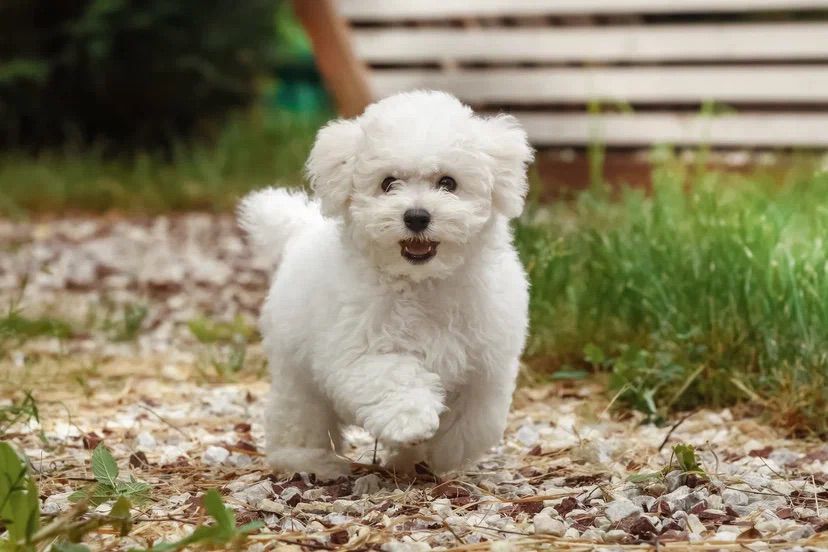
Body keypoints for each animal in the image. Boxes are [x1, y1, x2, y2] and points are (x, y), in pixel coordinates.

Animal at [239, 90, 532, 478]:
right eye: (388, 183)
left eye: (448, 183)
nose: (417, 217)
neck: (424, 283)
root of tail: (301, 230)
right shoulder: (359, 350)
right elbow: (393, 377)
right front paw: (411, 420)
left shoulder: (488, 361)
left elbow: (477, 419)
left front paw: (444, 452)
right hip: (295, 368)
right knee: (299, 414)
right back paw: (309, 459)